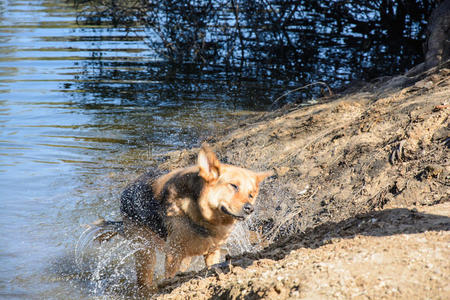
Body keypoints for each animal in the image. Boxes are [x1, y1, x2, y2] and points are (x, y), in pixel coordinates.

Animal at [102, 144, 270, 290]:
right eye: (234, 186)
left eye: (251, 195)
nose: (250, 208)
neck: (204, 219)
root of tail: (127, 190)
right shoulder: (173, 254)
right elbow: (169, 275)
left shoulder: (212, 252)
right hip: (145, 251)